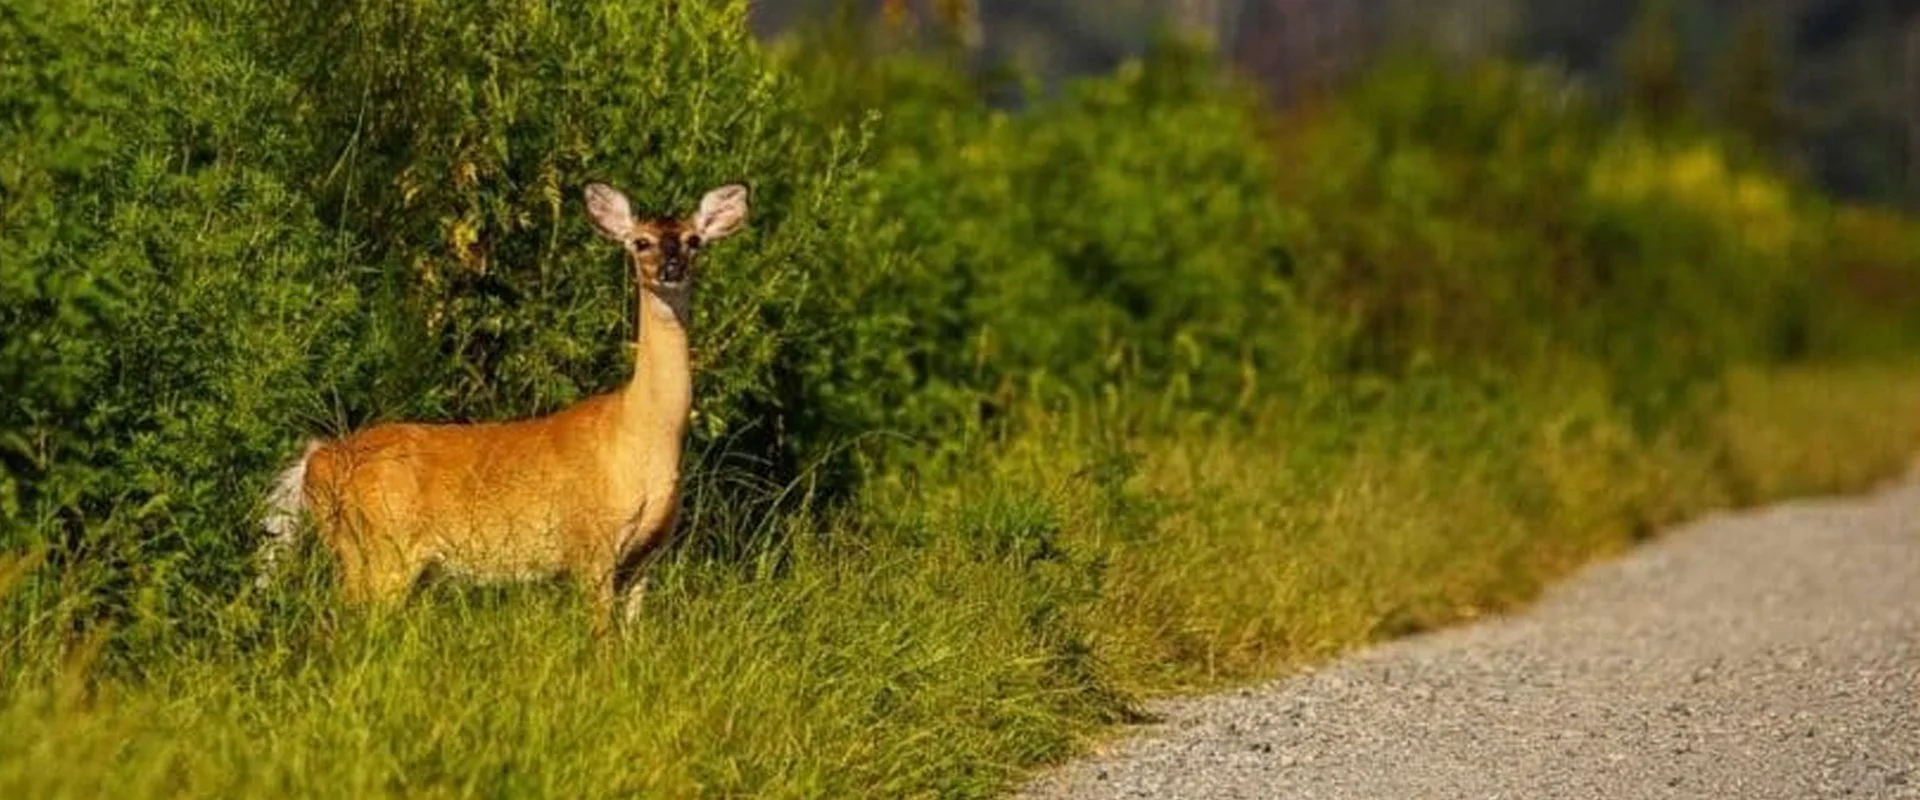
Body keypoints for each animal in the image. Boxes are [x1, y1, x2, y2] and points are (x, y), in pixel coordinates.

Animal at [256, 181, 749, 633]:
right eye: (641, 241)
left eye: (693, 240)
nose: (670, 267)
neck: (641, 434)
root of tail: (317, 457)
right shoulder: (590, 543)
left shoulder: (647, 557)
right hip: (377, 545)